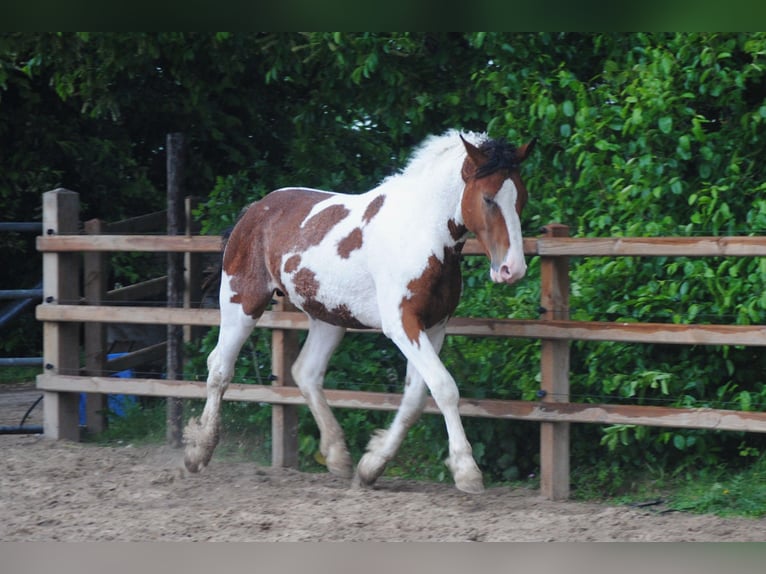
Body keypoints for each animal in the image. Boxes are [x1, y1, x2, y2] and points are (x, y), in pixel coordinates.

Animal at [183, 129, 535, 493]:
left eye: (521, 198)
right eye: (489, 198)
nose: (512, 269)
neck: (420, 233)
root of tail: (254, 210)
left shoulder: (434, 327)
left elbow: (415, 398)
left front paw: (371, 466)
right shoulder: (402, 325)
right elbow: (444, 387)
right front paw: (467, 471)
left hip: (328, 318)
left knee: (306, 372)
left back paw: (338, 456)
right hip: (242, 301)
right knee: (220, 368)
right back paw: (199, 452)